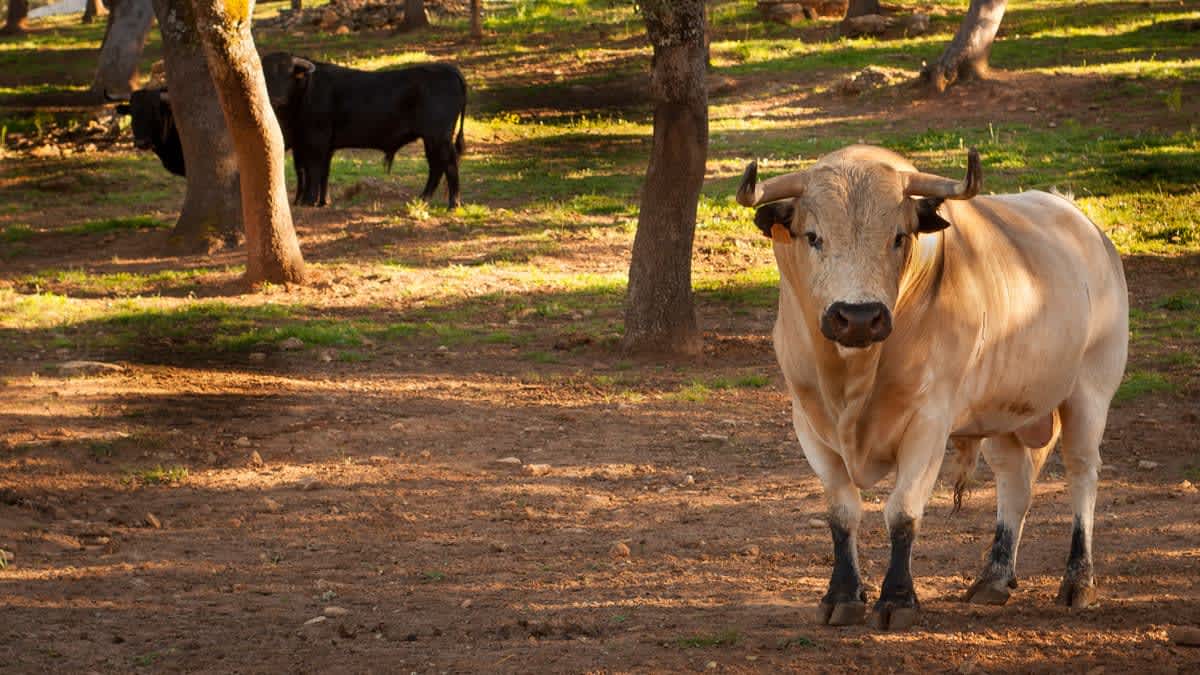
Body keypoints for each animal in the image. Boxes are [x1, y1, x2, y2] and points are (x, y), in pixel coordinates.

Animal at [260, 52, 465, 206]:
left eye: (288, 75)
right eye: (264, 77)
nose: (276, 99)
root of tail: (447, 68)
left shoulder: (315, 141)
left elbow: (313, 171)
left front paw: (308, 202)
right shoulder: (316, 144)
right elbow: (319, 172)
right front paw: (322, 201)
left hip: (438, 136)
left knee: (448, 164)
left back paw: (453, 203)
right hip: (432, 139)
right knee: (437, 165)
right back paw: (424, 199)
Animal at [734, 144, 1128, 629]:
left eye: (899, 237)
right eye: (813, 236)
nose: (859, 317)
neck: (852, 382)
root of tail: (1082, 222)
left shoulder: (929, 423)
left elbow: (903, 511)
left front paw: (897, 600)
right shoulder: (809, 424)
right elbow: (842, 512)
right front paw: (842, 595)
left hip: (1090, 392)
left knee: (1081, 473)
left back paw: (1078, 580)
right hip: (1001, 412)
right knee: (1014, 481)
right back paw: (994, 577)